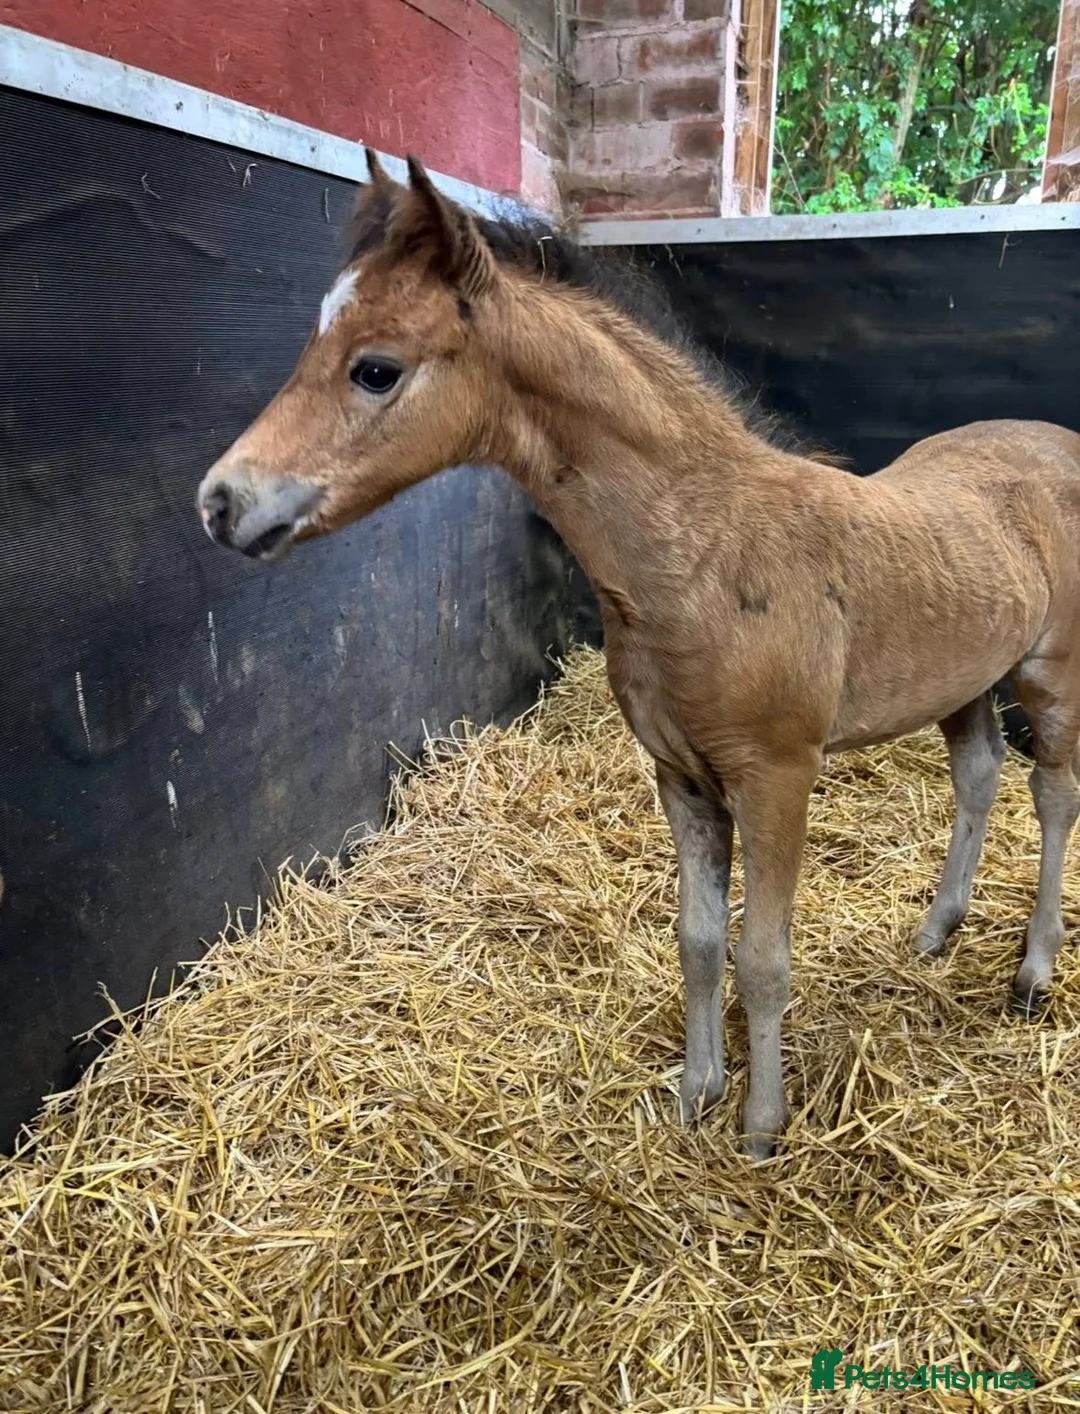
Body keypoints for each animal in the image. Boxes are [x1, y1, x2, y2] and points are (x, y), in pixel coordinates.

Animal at [196, 151, 1080, 1158]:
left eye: (376, 369)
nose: (220, 502)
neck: (702, 551)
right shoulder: (682, 776)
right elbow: (698, 942)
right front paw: (697, 1092)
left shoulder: (777, 774)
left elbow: (762, 957)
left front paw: (760, 1128)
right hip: (965, 674)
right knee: (979, 772)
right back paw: (938, 929)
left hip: (1050, 673)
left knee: (1054, 795)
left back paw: (1032, 971)